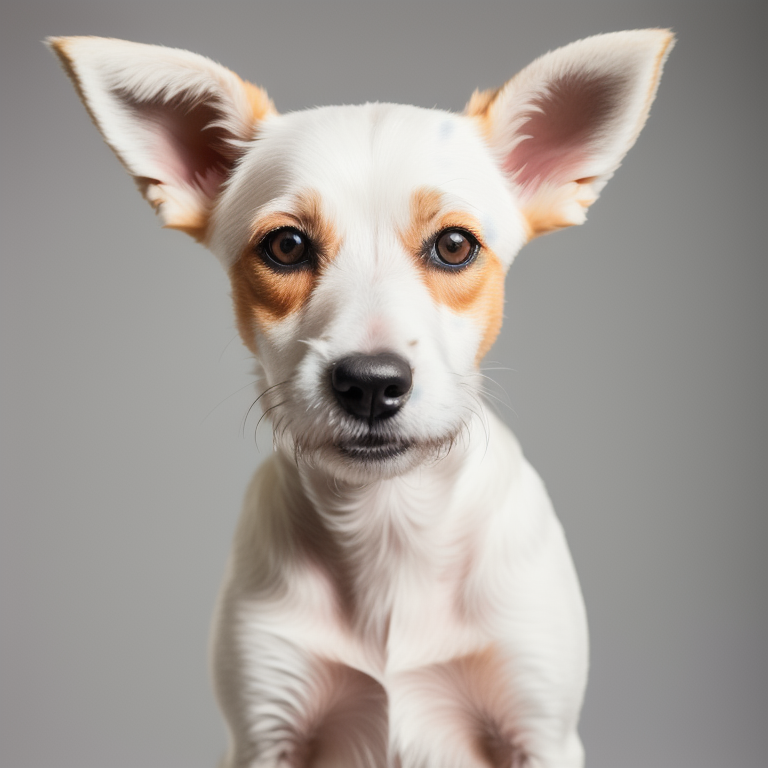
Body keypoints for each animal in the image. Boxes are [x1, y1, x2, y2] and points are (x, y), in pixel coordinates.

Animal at [49, 30, 672, 768]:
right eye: (286, 245)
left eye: (455, 245)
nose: (371, 383)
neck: (389, 525)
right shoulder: (265, 724)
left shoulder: (540, 725)